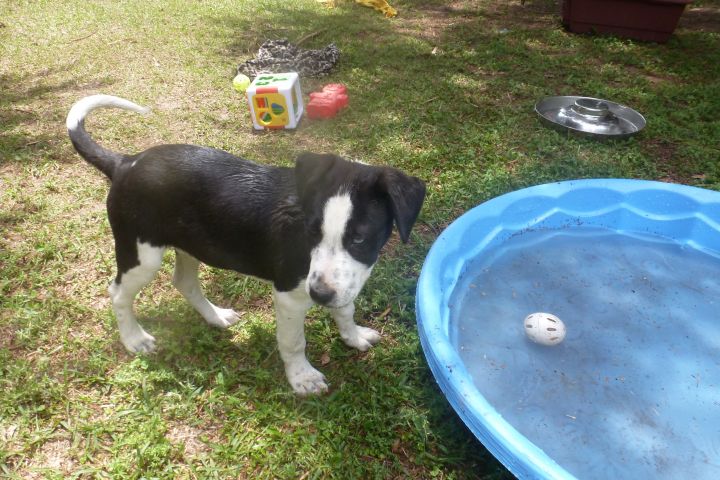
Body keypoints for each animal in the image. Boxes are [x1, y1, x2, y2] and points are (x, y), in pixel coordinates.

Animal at [66, 95, 428, 396]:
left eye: (360, 238)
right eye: (310, 232)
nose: (319, 296)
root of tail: (125, 163)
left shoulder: (341, 283)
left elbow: (345, 309)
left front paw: (353, 337)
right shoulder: (290, 295)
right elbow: (294, 342)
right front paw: (302, 378)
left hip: (190, 244)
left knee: (183, 282)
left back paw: (215, 317)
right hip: (141, 253)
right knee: (118, 293)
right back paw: (134, 338)